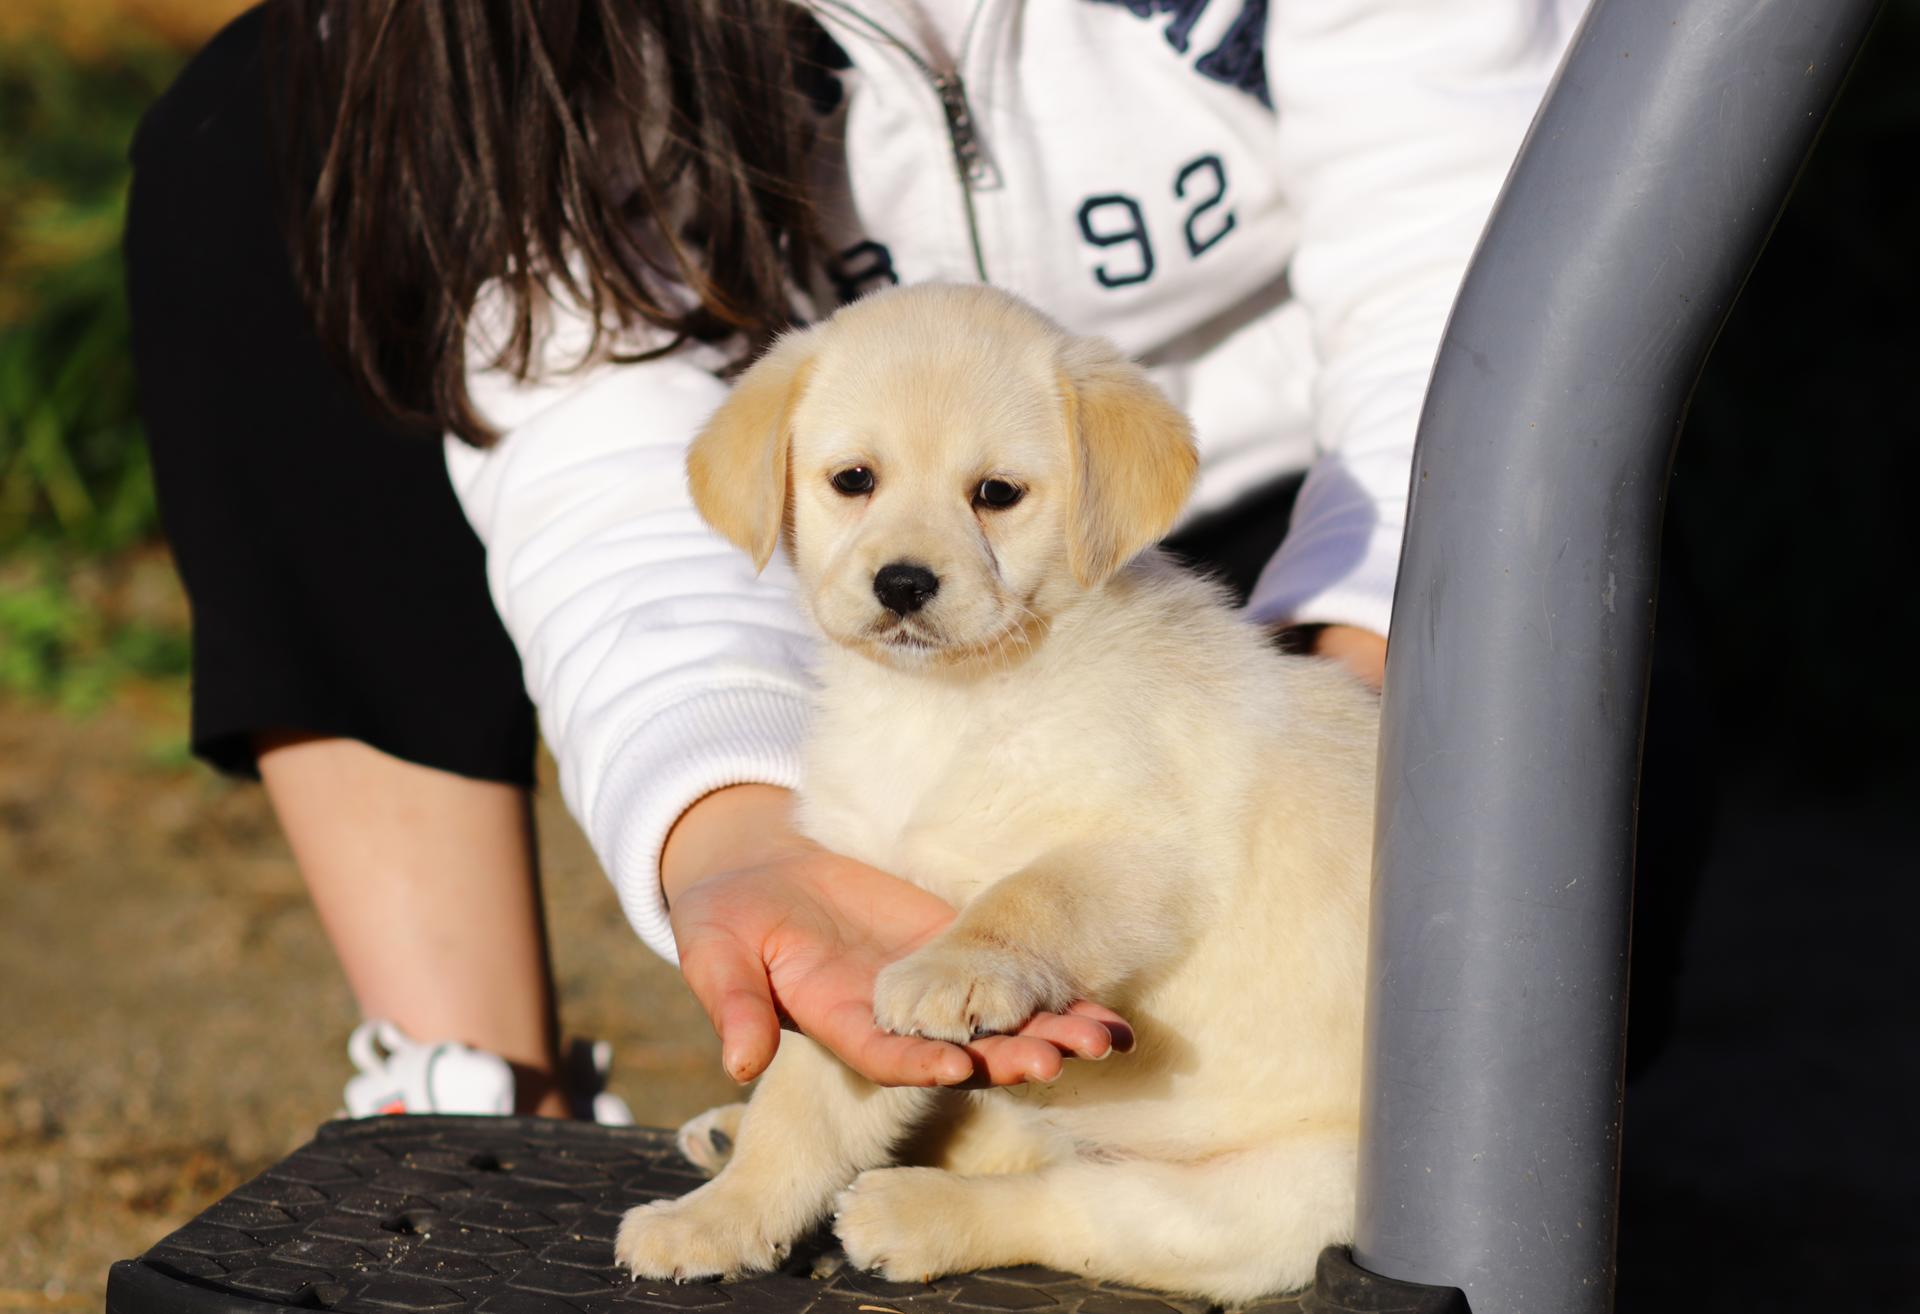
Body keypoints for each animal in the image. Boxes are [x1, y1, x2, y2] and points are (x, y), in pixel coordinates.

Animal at [618, 282, 1382, 1298]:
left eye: (996, 494)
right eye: (854, 480)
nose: (903, 584)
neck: (948, 702)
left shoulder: (1142, 852)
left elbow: (1030, 895)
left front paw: (959, 968)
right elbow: (802, 1105)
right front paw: (720, 1219)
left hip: (1269, 1200)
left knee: (1073, 1208)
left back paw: (913, 1213)